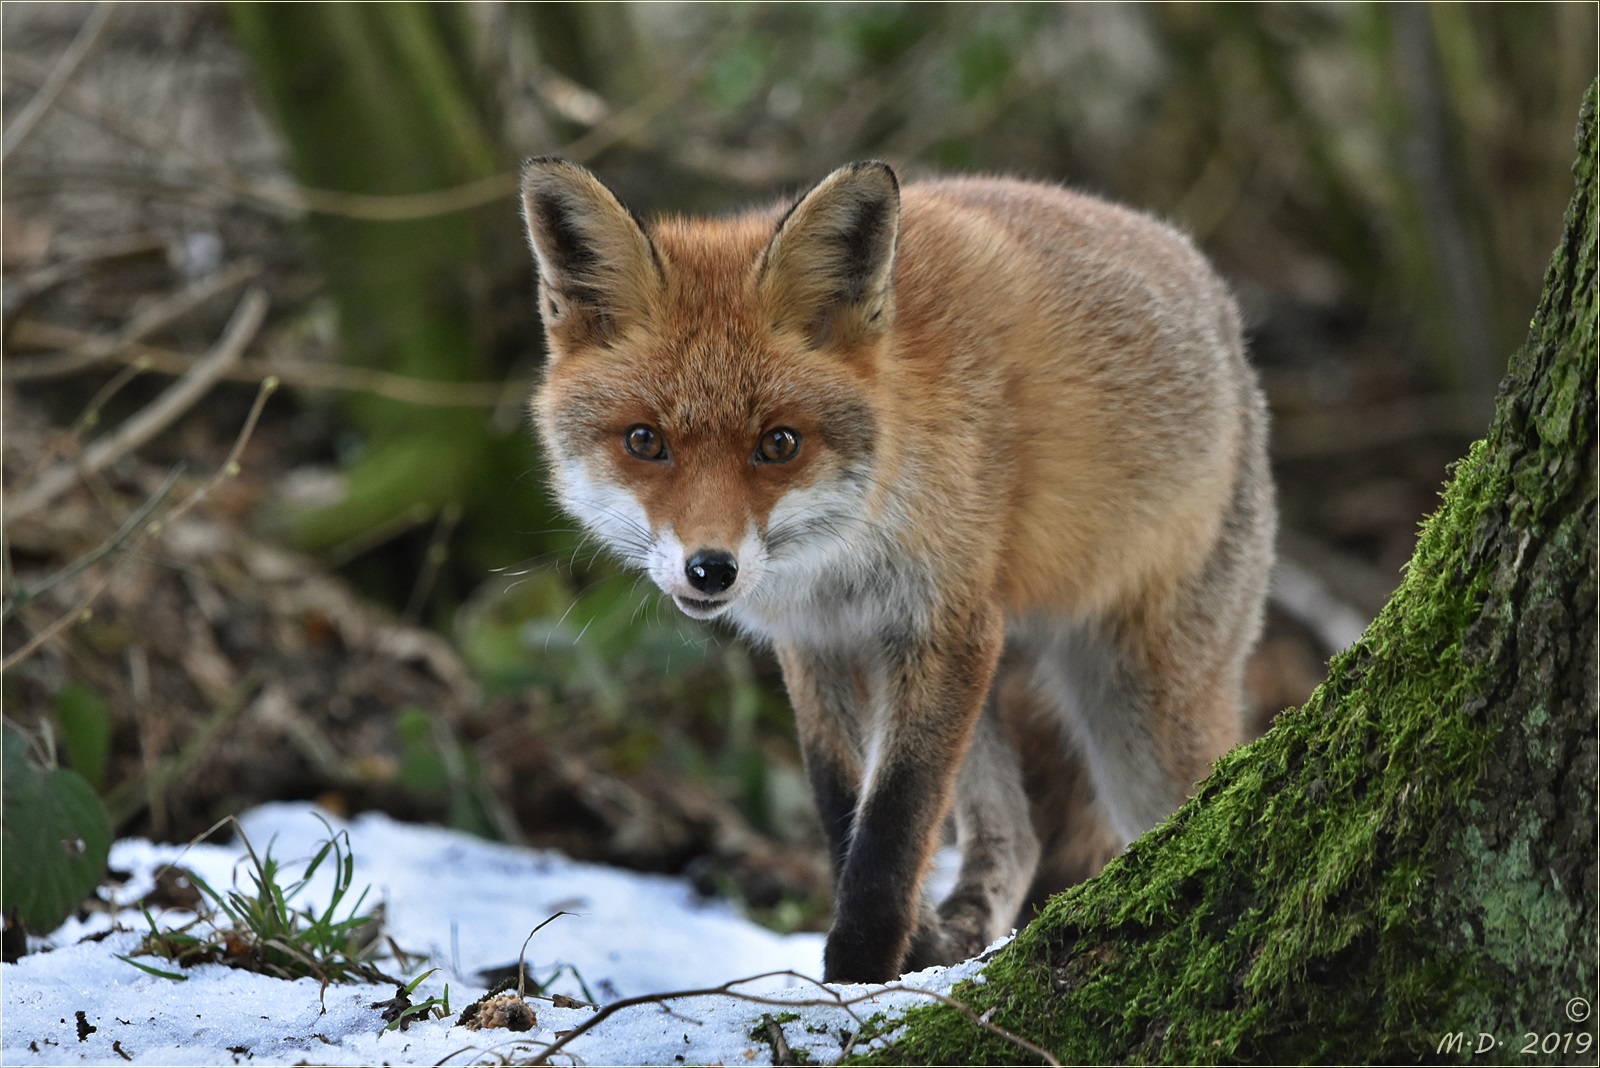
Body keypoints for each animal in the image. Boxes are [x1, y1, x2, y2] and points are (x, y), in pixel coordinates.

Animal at [521, 158, 1273, 984]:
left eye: (779, 443)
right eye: (645, 441)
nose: (710, 570)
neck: (841, 555)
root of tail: (1208, 281)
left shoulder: (943, 624)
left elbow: (893, 825)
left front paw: (856, 971)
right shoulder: (821, 644)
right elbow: (842, 808)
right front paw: (896, 953)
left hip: (1135, 708)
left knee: (1182, 800)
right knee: (1016, 839)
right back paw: (954, 937)